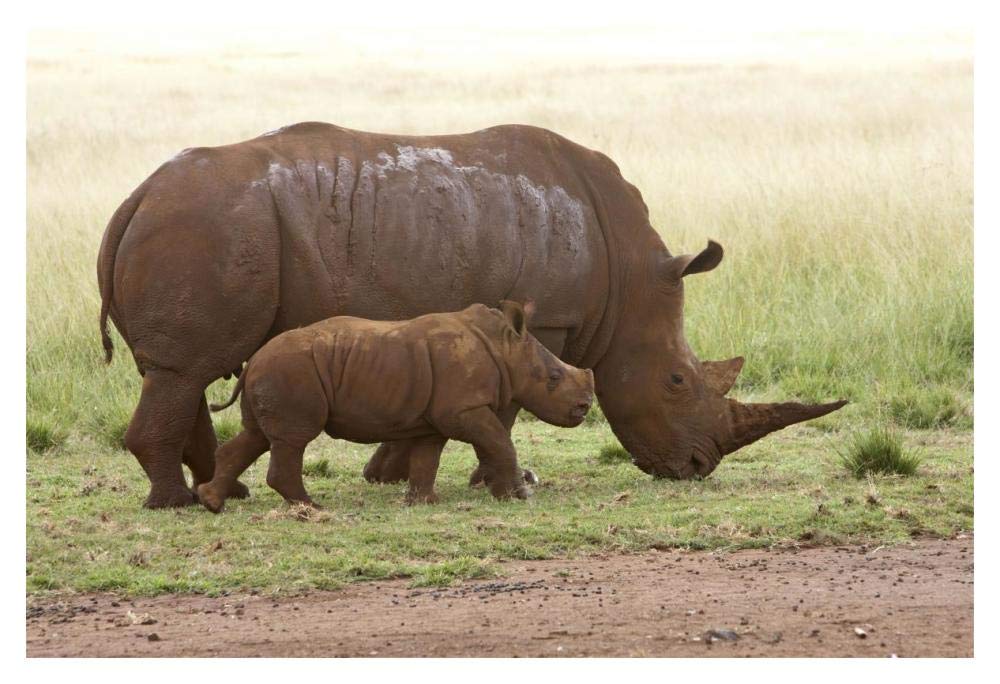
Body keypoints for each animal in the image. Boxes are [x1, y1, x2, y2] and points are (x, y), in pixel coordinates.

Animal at [196, 301, 594, 512]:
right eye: (554, 377)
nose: (585, 406)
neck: (505, 348)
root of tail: (253, 362)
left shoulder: (437, 417)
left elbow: (427, 457)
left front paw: (424, 501)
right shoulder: (463, 409)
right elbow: (500, 441)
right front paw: (520, 496)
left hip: (274, 372)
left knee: (256, 436)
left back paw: (212, 502)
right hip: (290, 370)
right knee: (292, 439)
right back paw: (312, 508)